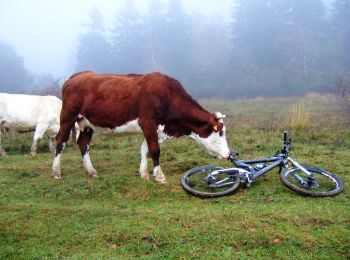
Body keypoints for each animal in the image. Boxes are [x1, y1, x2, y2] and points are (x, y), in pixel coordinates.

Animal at [51, 71, 230, 183]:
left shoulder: (152, 129)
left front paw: (144, 173)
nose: (230, 154)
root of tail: (78, 75)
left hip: (87, 124)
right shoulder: (148, 123)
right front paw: (160, 176)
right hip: (67, 117)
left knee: (83, 144)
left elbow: (145, 149)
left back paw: (91, 171)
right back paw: (56, 172)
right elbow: (155, 150)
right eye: (220, 132)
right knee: (60, 142)